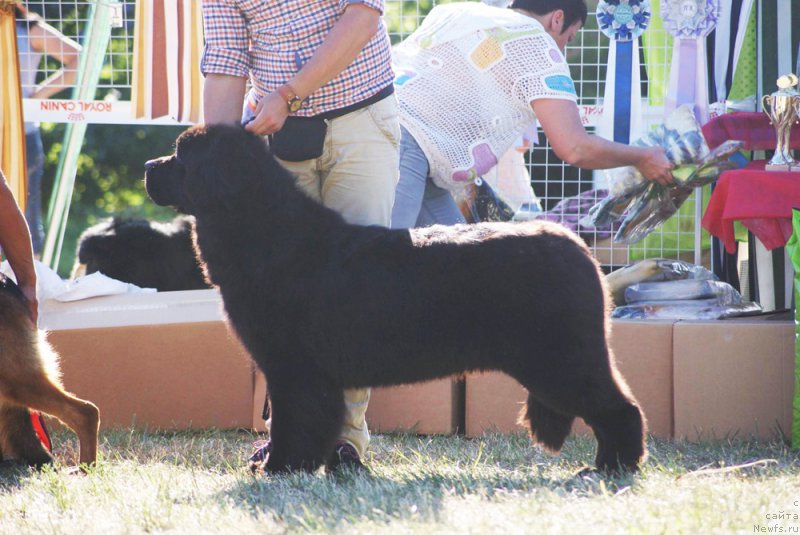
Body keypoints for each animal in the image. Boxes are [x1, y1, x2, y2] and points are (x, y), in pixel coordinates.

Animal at [144, 124, 648, 474]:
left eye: (181, 156)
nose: (148, 167)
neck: (262, 228)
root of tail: (577, 247)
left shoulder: (293, 368)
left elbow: (293, 421)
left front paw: (279, 469)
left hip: (560, 359)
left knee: (620, 408)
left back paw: (610, 469)